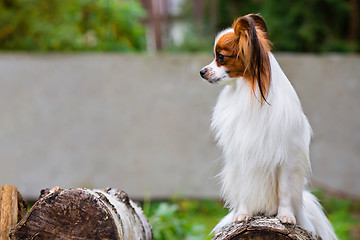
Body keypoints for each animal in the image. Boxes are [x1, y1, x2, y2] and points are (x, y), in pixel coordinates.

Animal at [200, 14, 338, 239]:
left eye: (220, 57)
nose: (202, 72)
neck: (248, 90)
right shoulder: (243, 155)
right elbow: (245, 189)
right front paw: (243, 215)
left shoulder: (286, 159)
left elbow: (284, 191)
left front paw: (286, 216)